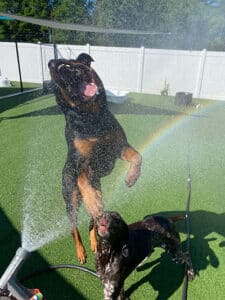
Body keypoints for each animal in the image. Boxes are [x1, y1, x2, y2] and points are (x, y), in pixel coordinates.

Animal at [48, 54, 142, 264]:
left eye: (77, 64)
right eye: (63, 73)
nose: (76, 72)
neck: (91, 117)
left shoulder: (118, 146)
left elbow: (137, 156)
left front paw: (132, 177)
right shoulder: (83, 163)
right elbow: (84, 183)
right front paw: (92, 202)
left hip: (98, 187)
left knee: (93, 221)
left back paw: (94, 241)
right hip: (71, 198)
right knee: (75, 227)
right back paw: (81, 250)